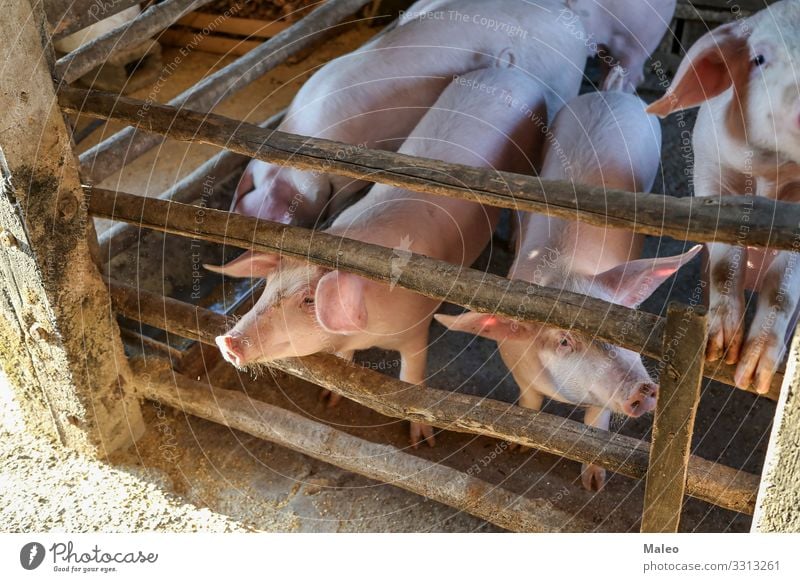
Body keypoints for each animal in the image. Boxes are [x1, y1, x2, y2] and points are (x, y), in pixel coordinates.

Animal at [211, 68, 552, 450]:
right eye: (269, 285)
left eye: (310, 299)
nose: (227, 342)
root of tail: (512, 71)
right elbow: (344, 364)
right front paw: (329, 400)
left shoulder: (416, 327)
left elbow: (411, 379)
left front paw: (422, 442)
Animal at [438, 92, 700, 492]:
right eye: (564, 341)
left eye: (623, 329)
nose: (643, 388)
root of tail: (613, 92)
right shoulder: (516, 365)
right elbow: (529, 402)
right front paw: (517, 448)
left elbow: (596, 424)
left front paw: (594, 484)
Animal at [648, 0, 800, 396]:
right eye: (758, 58)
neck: (769, 175)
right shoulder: (709, 171)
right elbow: (723, 260)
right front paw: (719, 352)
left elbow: (782, 288)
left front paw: (753, 377)